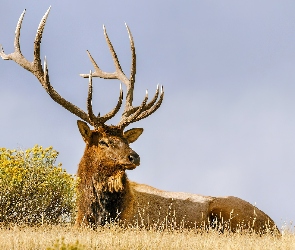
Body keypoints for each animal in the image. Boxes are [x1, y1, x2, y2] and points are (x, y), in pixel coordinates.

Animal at [0, 8, 278, 234]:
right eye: (103, 141)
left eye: (125, 139)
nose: (134, 157)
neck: (97, 215)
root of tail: (274, 225)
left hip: (229, 213)